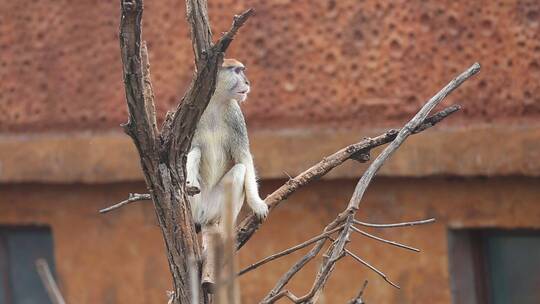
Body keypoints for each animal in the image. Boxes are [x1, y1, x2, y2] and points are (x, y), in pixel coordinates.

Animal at [187, 58, 268, 228]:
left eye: (242, 70)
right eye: (236, 71)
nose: (247, 82)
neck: (214, 103)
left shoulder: (235, 116)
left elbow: (244, 158)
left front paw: (257, 204)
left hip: (214, 209)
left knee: (239, 170)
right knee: (195, 153)